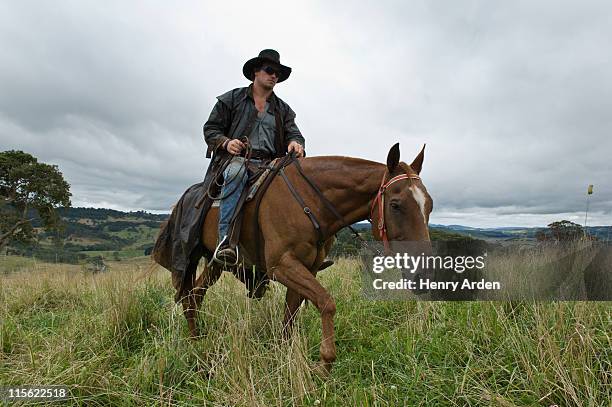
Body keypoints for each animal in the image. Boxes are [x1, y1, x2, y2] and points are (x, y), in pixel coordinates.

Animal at [177, 143, 436, 376]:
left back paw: (197, 338)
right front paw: (325, 362)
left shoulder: (305, 269)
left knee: (195, 294)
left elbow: (290, 314)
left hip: (215, 263)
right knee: (190, 294)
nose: (424, 274)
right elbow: (326, 302)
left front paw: (284, 354)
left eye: (430, 205)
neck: (311, 202)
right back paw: (194, 341)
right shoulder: (282, 265)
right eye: (395, 205)